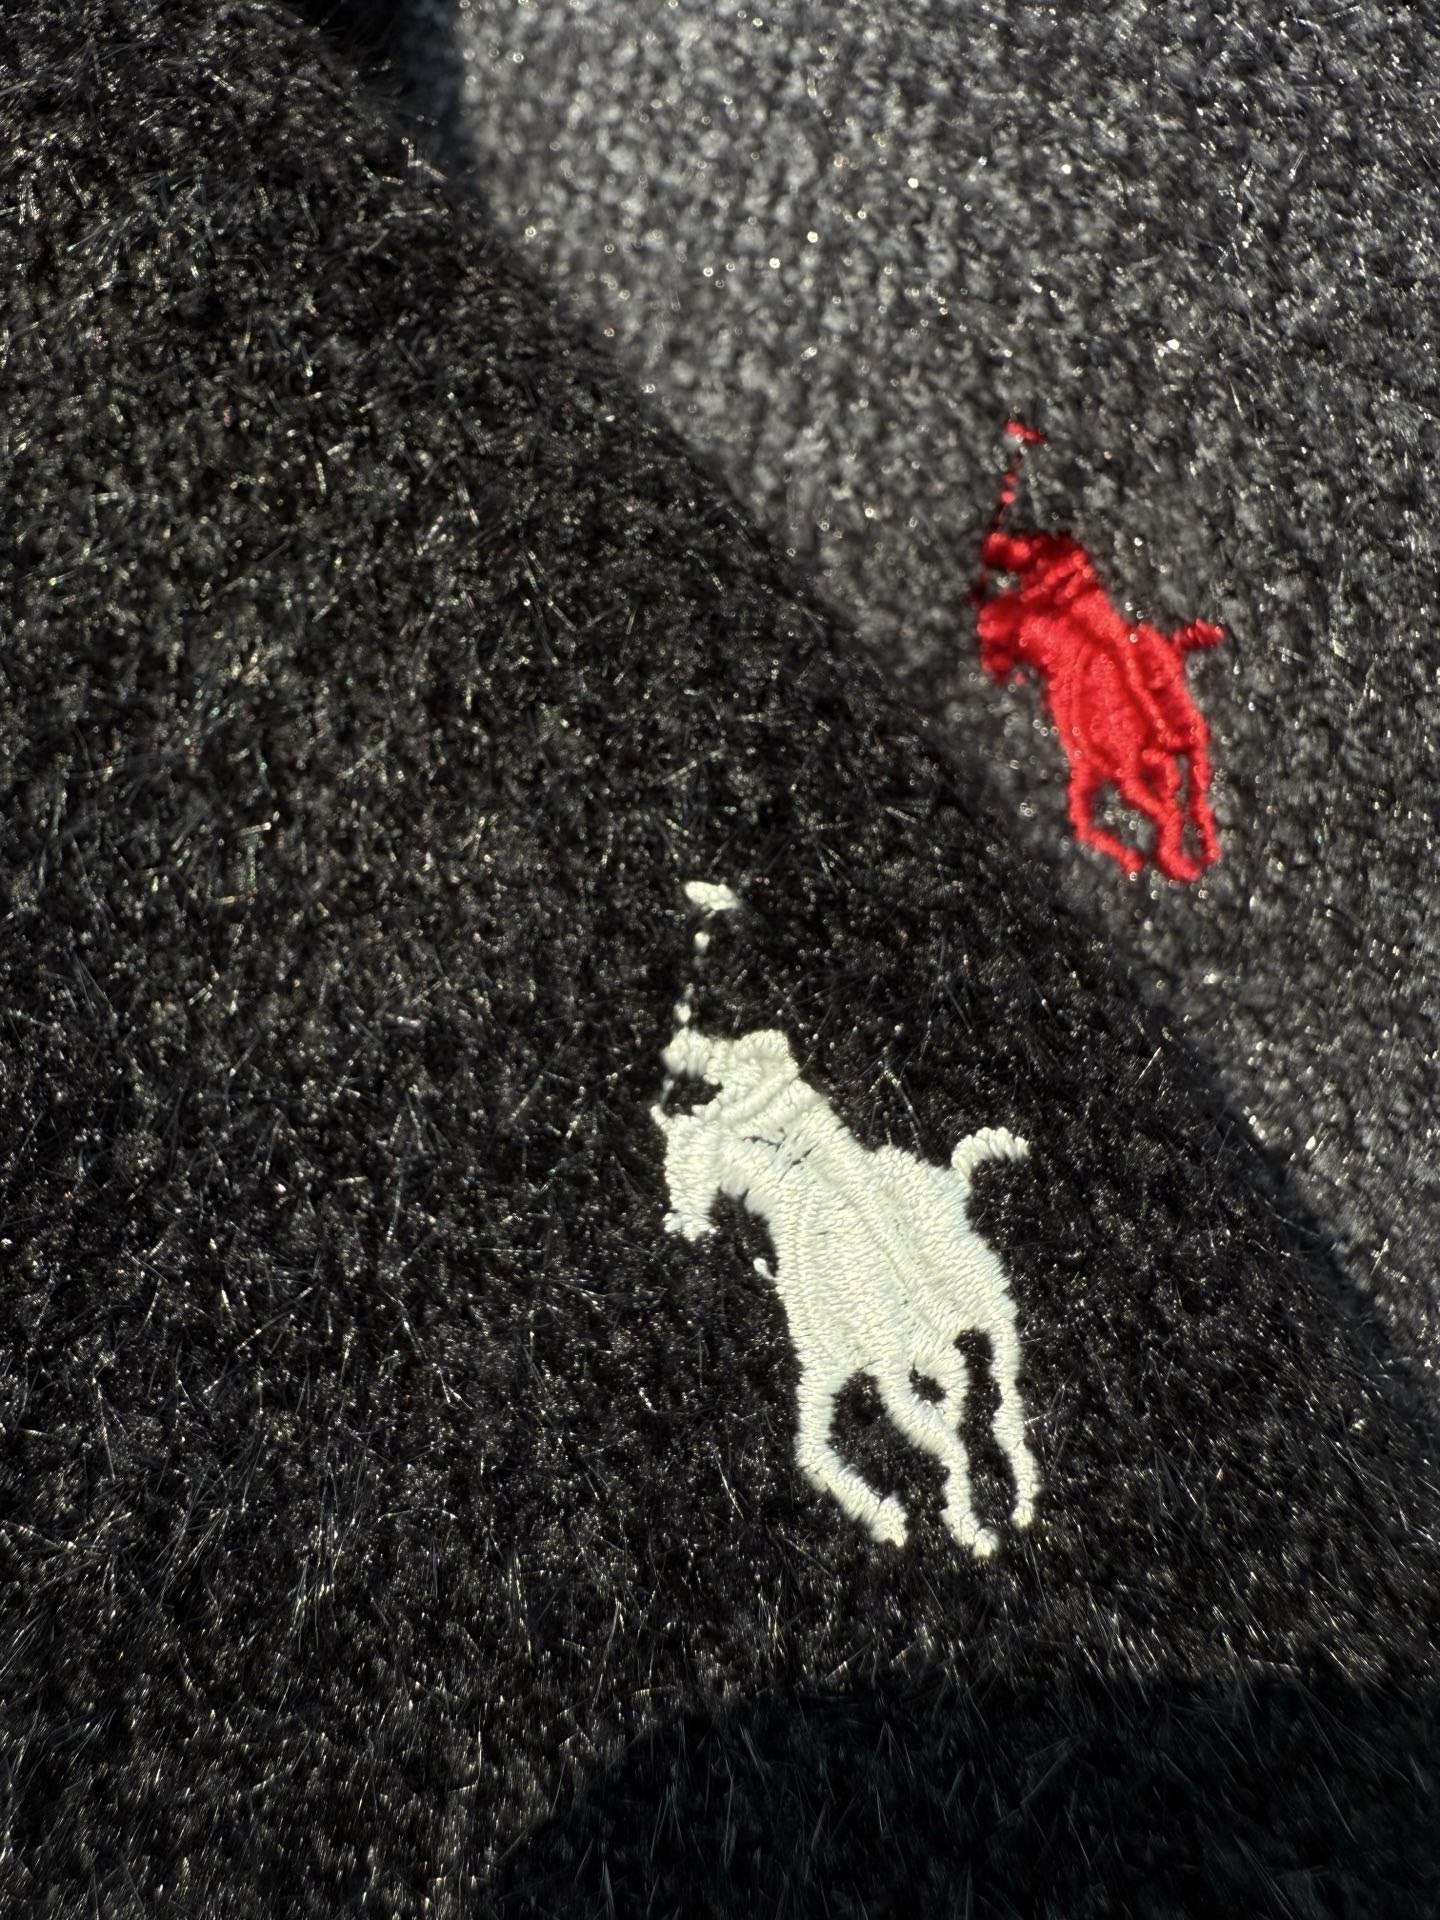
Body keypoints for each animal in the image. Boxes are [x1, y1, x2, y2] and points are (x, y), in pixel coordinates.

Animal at [652, 1022, 1039, 1556]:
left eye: (685, 1165)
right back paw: (1010, 1499)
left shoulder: (864, 1364)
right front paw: (887, 1514)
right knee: (988, 1395)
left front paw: (935, 1520)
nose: (685, 1227)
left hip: (956, 1319)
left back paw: (993, 1509)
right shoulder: (829, 1372)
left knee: (987, 1402)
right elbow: (814, 1448)